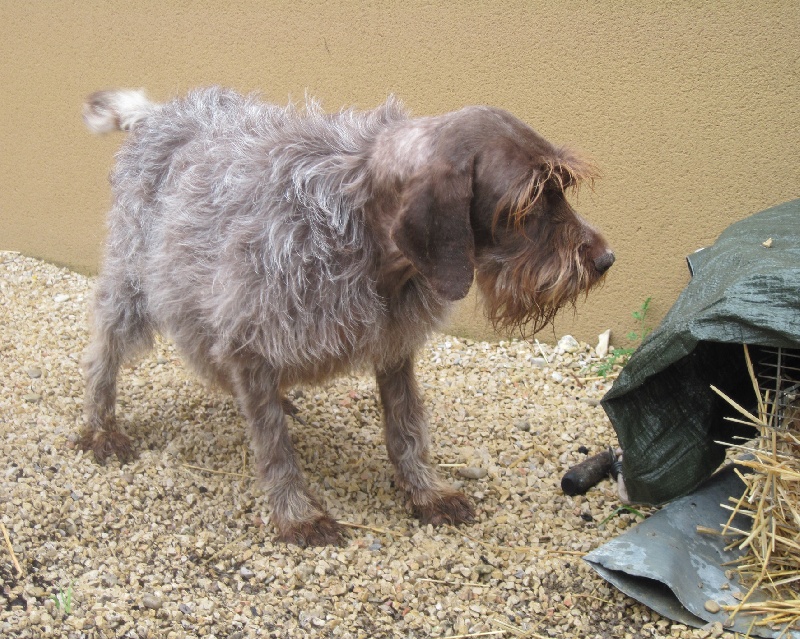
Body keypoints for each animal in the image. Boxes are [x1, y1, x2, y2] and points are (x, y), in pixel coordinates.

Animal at [81, 87, 616, 548]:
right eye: (528, 202)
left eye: (560, 189)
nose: (605, 260)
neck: (358, 225)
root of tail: (156, 115)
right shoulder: (249, 338)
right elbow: (275, 449)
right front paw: (297, 514)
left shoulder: (395, 348)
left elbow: (406, 430)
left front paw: (425, 491)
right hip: (135, 284)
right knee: (103, 356)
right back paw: (101, 427)